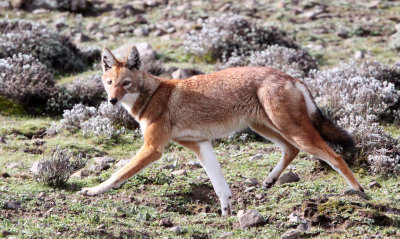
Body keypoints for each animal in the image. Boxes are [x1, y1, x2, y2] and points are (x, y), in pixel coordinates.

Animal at [79, 45, 364, 216]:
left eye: (125, 83)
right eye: (109, 83)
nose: (112, 101)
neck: (152, 96)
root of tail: (293, 78)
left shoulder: (153, 149)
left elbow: (118, 174)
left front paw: (93, 190)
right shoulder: (201, 145)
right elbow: (219, 186)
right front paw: (226, 213)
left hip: (292, 132)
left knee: (335, 156)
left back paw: (358, 191)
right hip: (267, 129)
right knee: (291, 150)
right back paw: (269, 180)